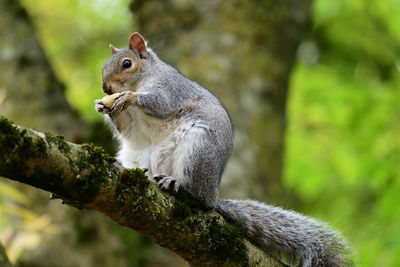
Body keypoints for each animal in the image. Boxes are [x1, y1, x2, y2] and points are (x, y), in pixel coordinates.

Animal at [95, 32, 352, 266]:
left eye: (126, 64)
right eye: (103, 68)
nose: (106, 88)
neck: (144, 78)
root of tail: (214, 193)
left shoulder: (170, 89)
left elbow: (159, 103)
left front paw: (129, 96)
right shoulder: (132, 124)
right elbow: (128, 130)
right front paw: (102, 105)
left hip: (198, 149)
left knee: (200, 200)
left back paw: (177, 185)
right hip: (137, 157)